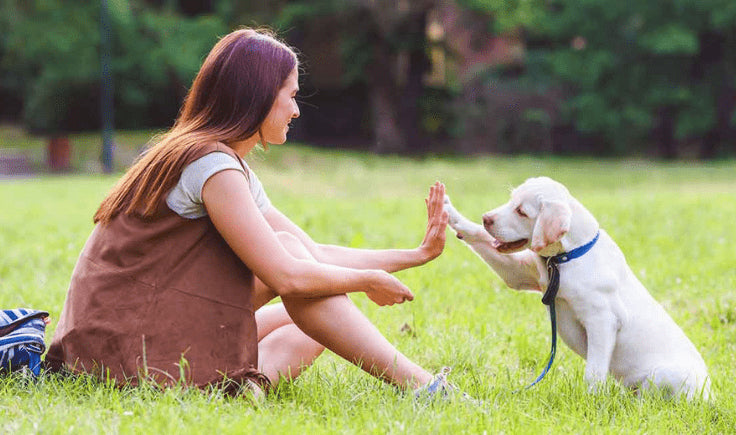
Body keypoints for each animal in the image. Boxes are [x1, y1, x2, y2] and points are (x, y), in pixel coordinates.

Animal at [446, 177, 712, 402]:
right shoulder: (519, 274)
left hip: (665, 375)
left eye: (521, 211)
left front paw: (592, 402)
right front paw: (449, 211)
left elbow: (593, 371)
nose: (486, 218)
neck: (568, 257)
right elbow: (478, 236)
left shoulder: (602, 321)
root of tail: (709, 397)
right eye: (511, 200)